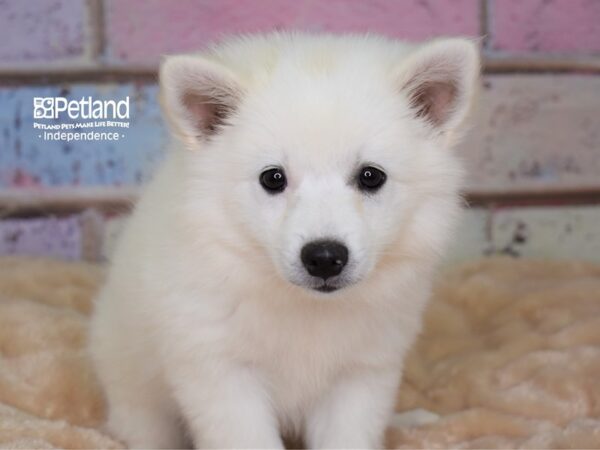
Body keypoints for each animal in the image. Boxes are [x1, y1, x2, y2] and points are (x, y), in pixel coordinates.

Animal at [88, 30, 478, 446]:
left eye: (371, 176)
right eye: (273, 178)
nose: (324, 257)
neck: (304, 306)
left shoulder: (362, 373)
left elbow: (349, 437)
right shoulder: (220, 370)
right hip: (131, 380)